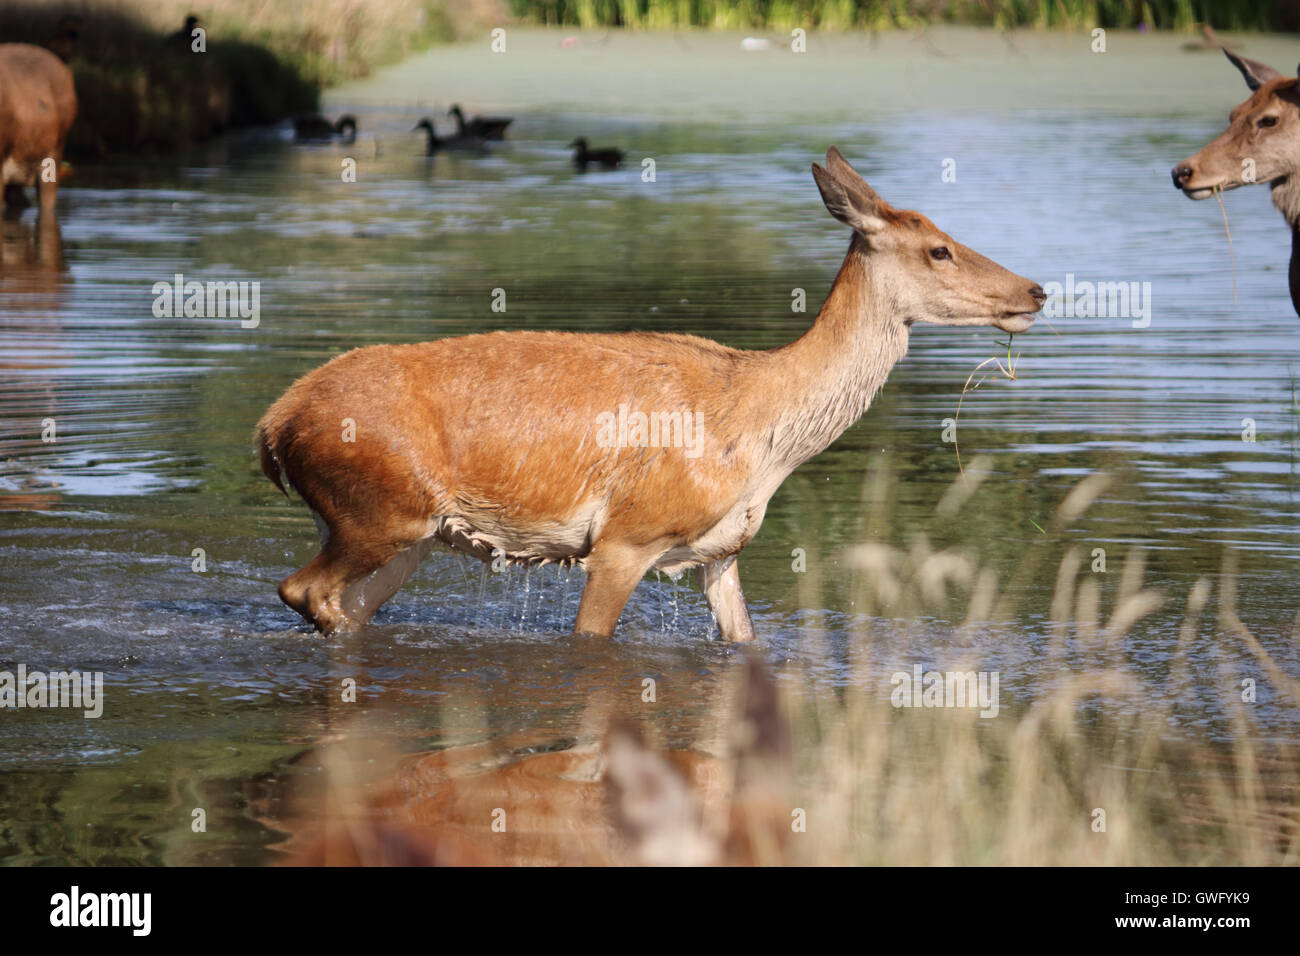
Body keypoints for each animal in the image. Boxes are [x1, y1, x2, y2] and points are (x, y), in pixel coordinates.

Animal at [256, 149, 1045, 639]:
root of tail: (273, 427)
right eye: (938, 248)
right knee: (304, 591)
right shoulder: (625, 537)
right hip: (381, 508)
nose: (1035, 290)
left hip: (412, 534)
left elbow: (746, 640)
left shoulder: (721, 551)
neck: (767, 439)